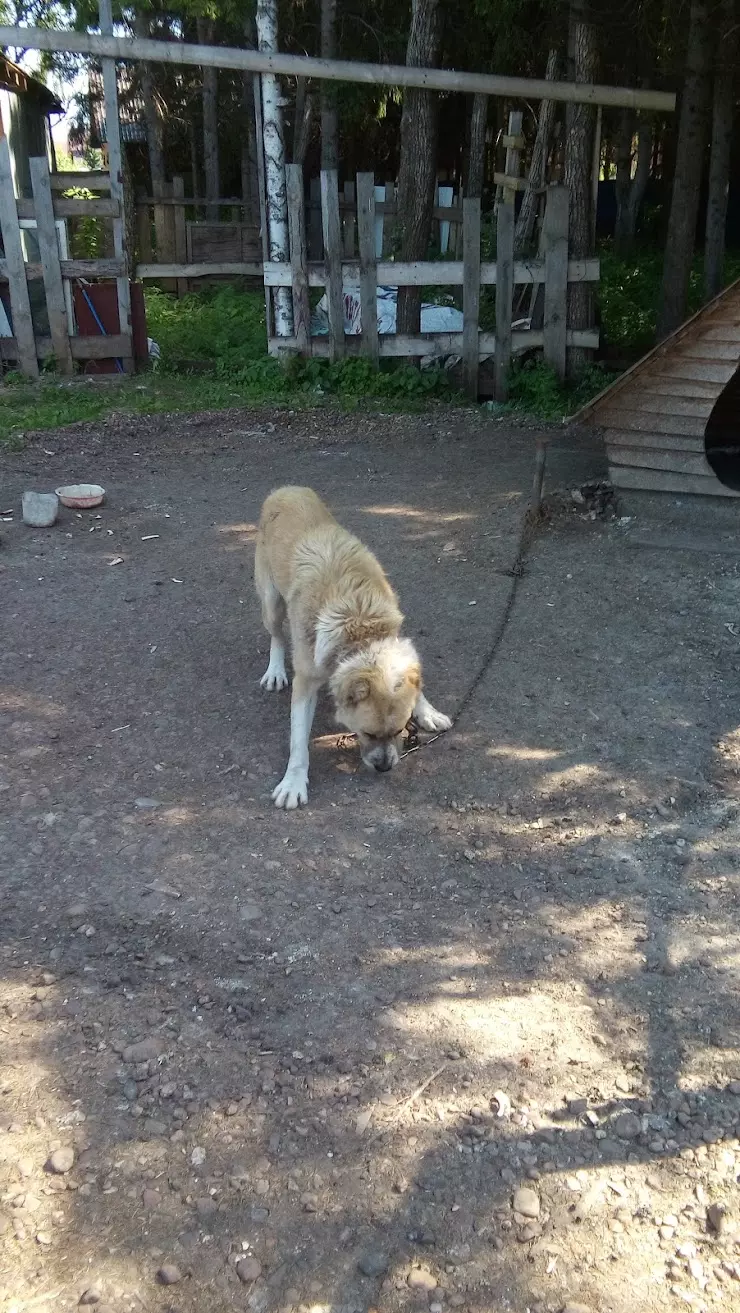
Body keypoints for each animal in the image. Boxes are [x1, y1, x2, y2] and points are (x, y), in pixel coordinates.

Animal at [254, 488, 451, 803]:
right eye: (367, 733)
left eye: (399, 730)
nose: (384, 768)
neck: (359, 625)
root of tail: (286, 489)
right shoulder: (306, 680)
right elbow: (298, 739)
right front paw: (294, 782)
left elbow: (415, 684)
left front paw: (427, 711)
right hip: (271, 602)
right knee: (277, 635)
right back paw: (275, 671)